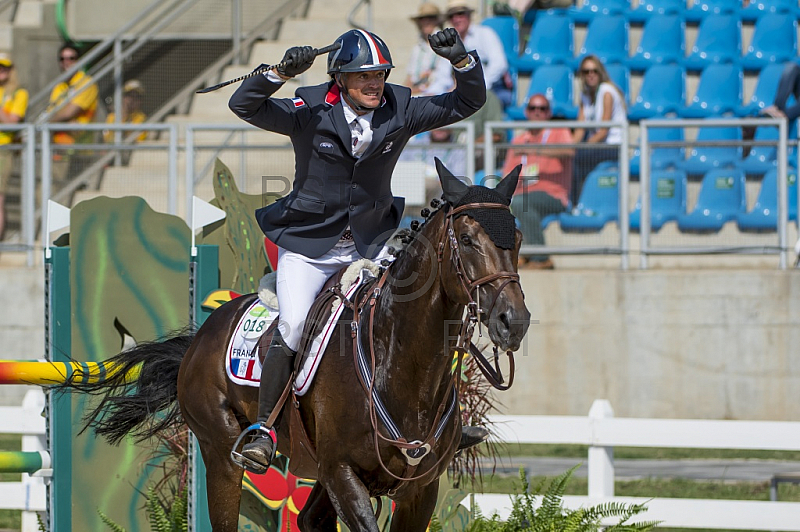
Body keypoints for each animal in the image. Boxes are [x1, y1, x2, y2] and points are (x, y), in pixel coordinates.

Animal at [67, 161, 532, 532]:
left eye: (519, 238)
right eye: (467, 239)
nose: (514, 321)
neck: (401, 365)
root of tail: (203, 334)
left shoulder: (419, 491)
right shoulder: (344, 474)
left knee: (309, 519)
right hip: (221, 454)